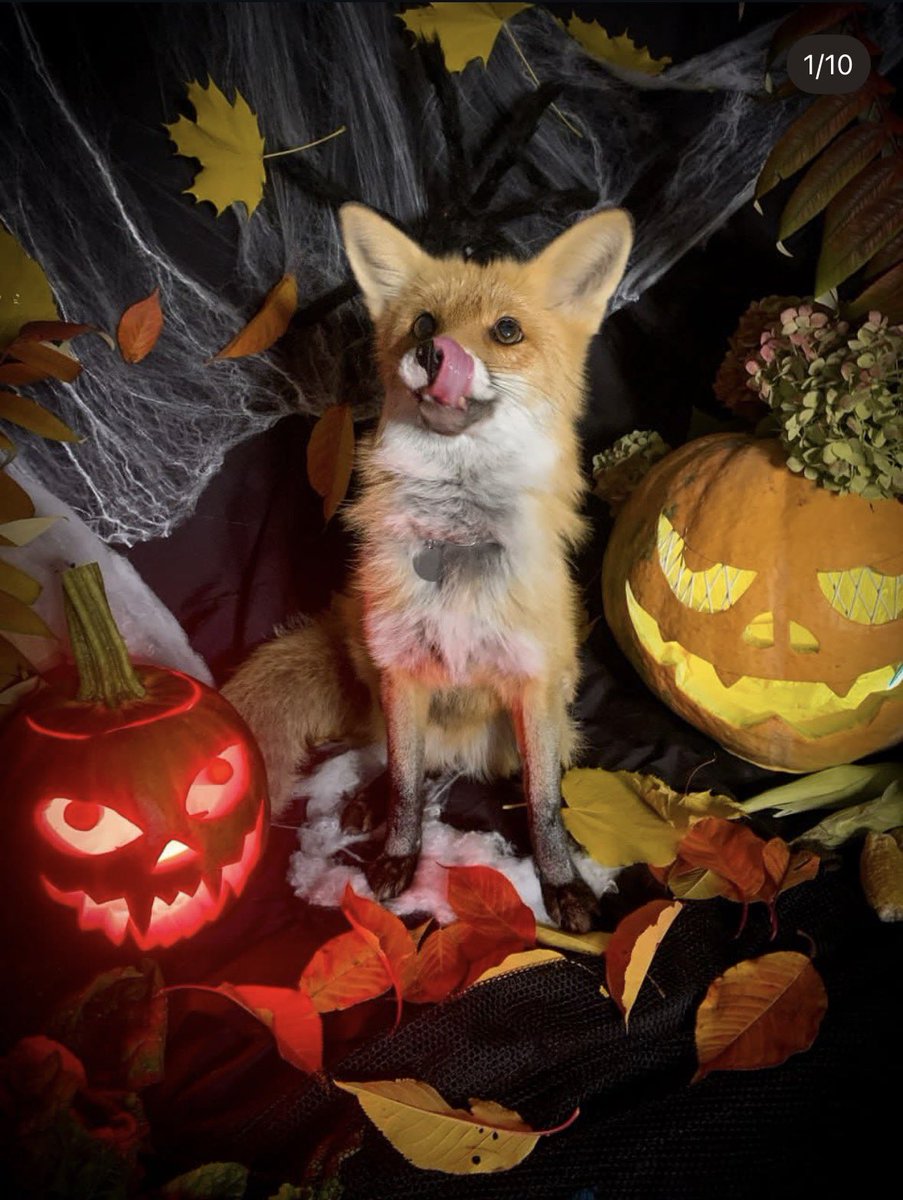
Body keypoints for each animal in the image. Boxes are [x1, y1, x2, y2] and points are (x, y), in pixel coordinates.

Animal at [223, 202, 633, 932]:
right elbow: (409, 783)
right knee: (393, 754)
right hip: (374, 667)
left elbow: (541, 801)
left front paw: (560, 883)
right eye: (422, 323)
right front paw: (398, 853)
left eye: (506, 330)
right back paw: (370, 800)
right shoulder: (403, 675)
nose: (434, 354)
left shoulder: (532, 685)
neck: (456, 538)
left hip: (537, 715)